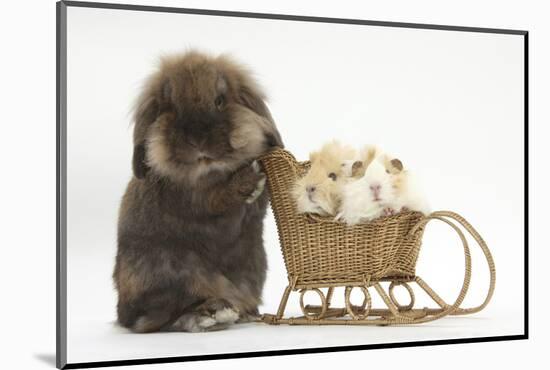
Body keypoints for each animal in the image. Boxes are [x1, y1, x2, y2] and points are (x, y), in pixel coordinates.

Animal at [112, 51, 284, 332]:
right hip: (169, 274)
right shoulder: (193, 198)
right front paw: (249, 180)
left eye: (220, 100)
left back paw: (241, 313)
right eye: (170, 107)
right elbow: (216, 197)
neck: (209, 169)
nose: (198, 139)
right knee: (157, 318)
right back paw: (212, 313)